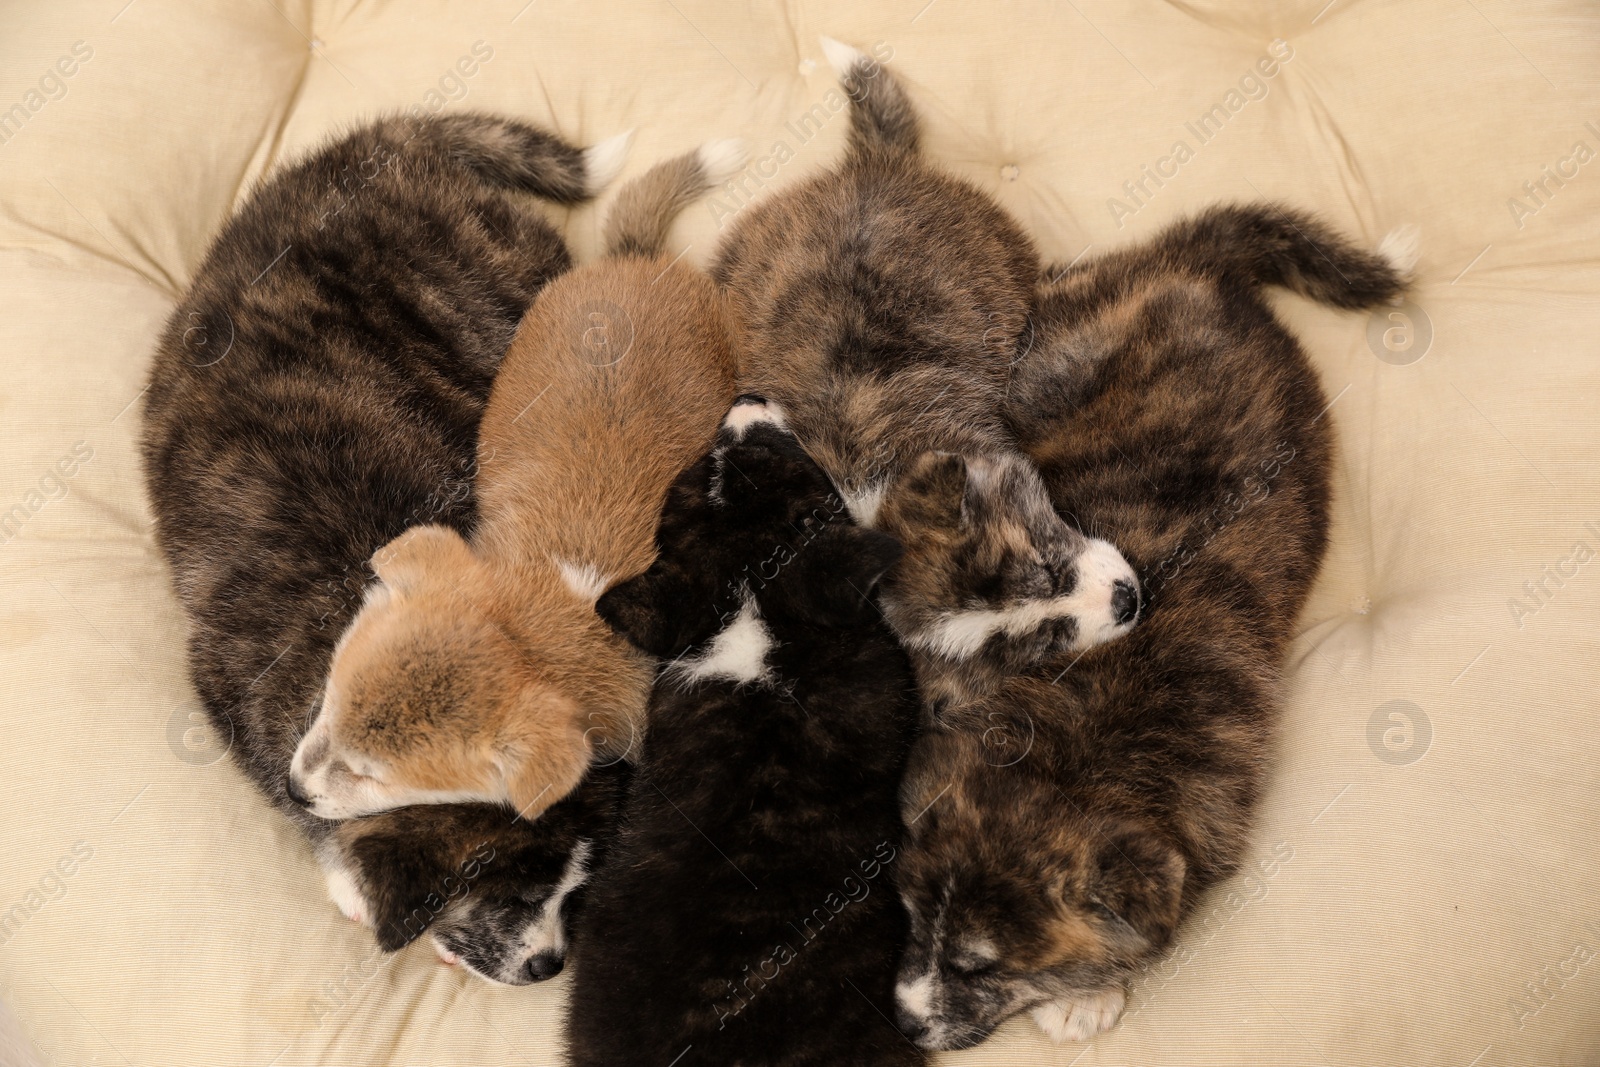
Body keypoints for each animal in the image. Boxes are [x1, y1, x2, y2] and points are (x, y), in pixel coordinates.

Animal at [142, 112, 630, 991]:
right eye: (509, 891)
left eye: (579, 883)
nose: (549, 966)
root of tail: (374, 144)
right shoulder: (220, 681)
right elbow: (288, 791)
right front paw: (345, 874)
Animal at [896, 204, 1420, 1049]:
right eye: (908, 917)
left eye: (983, 968)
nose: (906, 1025)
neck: (1077, 755)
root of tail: (1198, 262)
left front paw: (1086, 997)